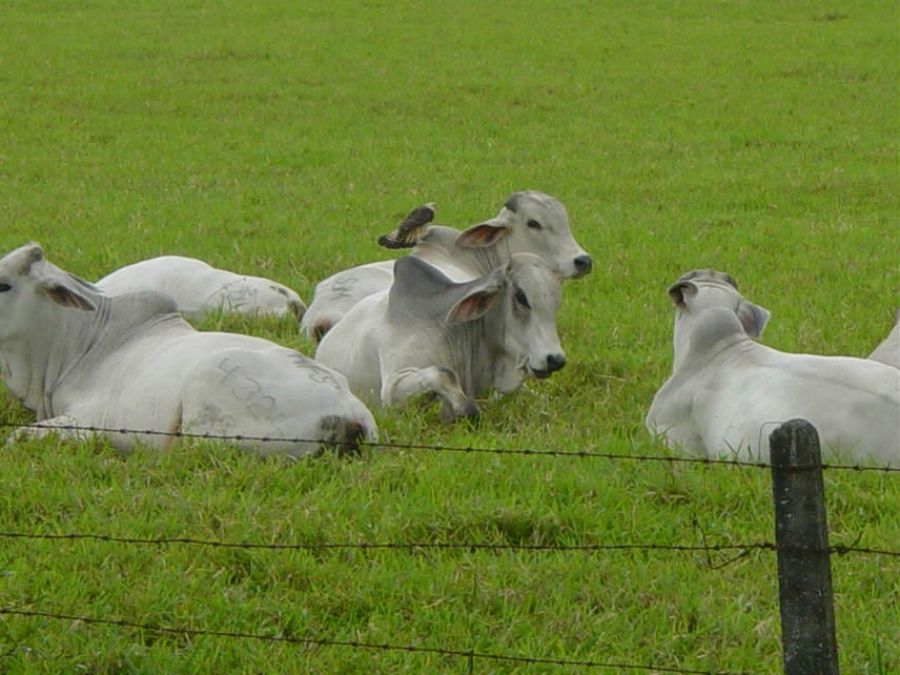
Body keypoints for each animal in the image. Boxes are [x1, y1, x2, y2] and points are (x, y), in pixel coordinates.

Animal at [316, 254, 568, 420]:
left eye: (556, 304)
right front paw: (465, 409)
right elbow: (443, 374)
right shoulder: (393, 385)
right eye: (521, 297)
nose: (555, 359)